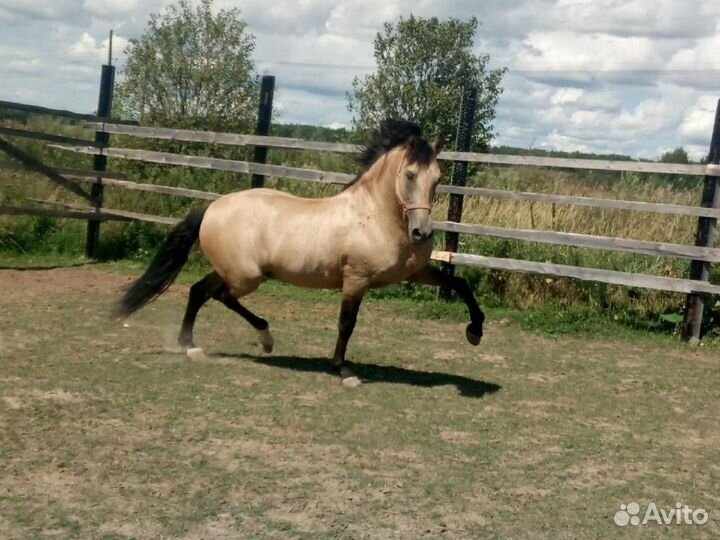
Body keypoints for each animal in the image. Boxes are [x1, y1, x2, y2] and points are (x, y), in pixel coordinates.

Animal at [115, 119, 485, 387]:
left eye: (437, 178)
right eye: (409, 175)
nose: (422, 232)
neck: (377, 217)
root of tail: (212, 208)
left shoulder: (415, 272)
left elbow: (461, 284)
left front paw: (475, 332)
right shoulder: (356, 280)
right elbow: (346, 324)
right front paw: (343, 371)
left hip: (238, 273)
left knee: (199, 291)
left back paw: (197, 345)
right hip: (246, 276)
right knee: (214, 294)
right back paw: (248, 340)